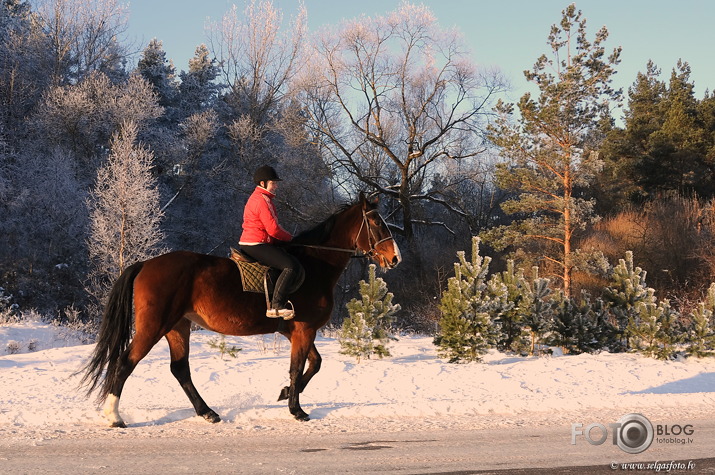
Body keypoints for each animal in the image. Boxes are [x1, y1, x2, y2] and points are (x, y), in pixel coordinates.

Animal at [80, 193, 402, 428]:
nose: (395, 258)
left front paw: (286, 393)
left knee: (180, 369)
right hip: (154, 326)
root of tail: (146, 263)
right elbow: (298, 367)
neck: (315, 265)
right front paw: (296, 409)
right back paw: (114, 416)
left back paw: (207, 412)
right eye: (375, 222)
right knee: (126, 362)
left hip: (177, 326)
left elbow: (314, 364)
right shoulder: (304, 329)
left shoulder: (296, 331)